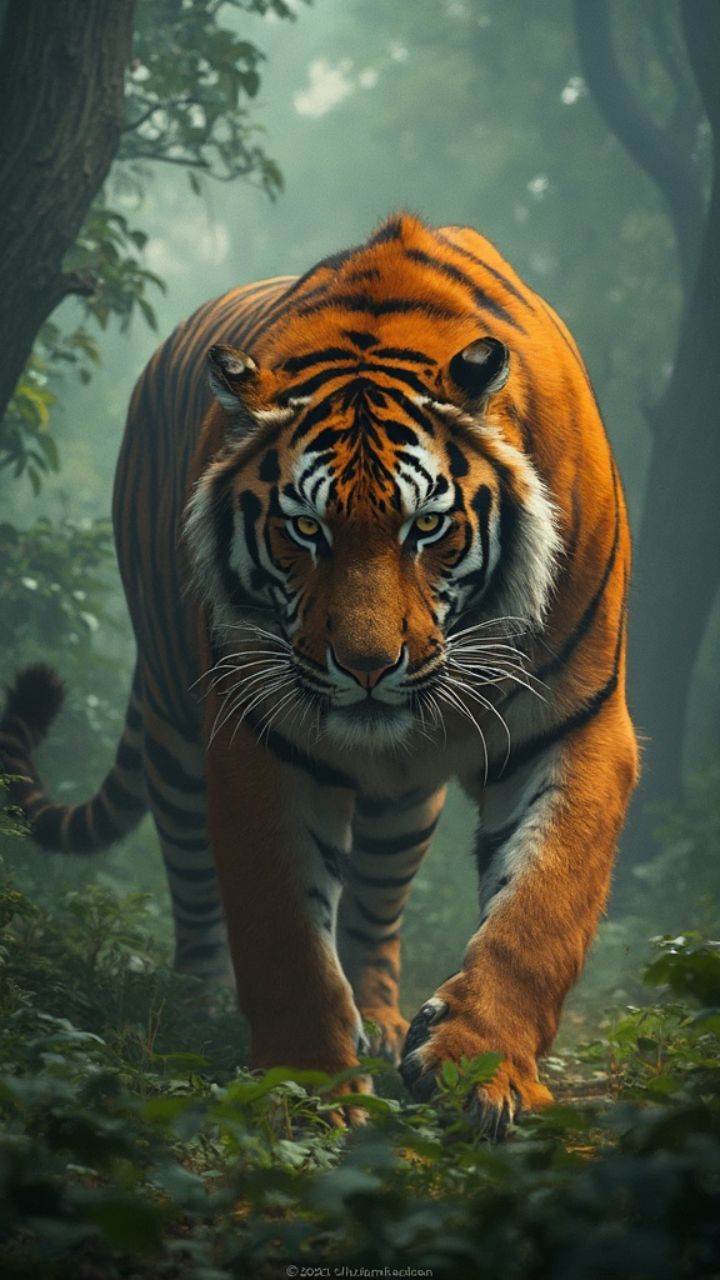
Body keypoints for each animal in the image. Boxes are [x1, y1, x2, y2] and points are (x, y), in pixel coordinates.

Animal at [1, 213, 638, 1137]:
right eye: (304, 529)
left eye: (427, 526)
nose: (368, 668)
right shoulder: (256, 735)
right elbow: (283, 927)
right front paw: (305, 1088)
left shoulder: (579, 720)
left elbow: (540, 907)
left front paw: (481, 1067)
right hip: (173, 731)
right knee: (193, 880)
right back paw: (197, 1006)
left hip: (406, 802)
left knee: (375, 901)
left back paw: (379, 1019)